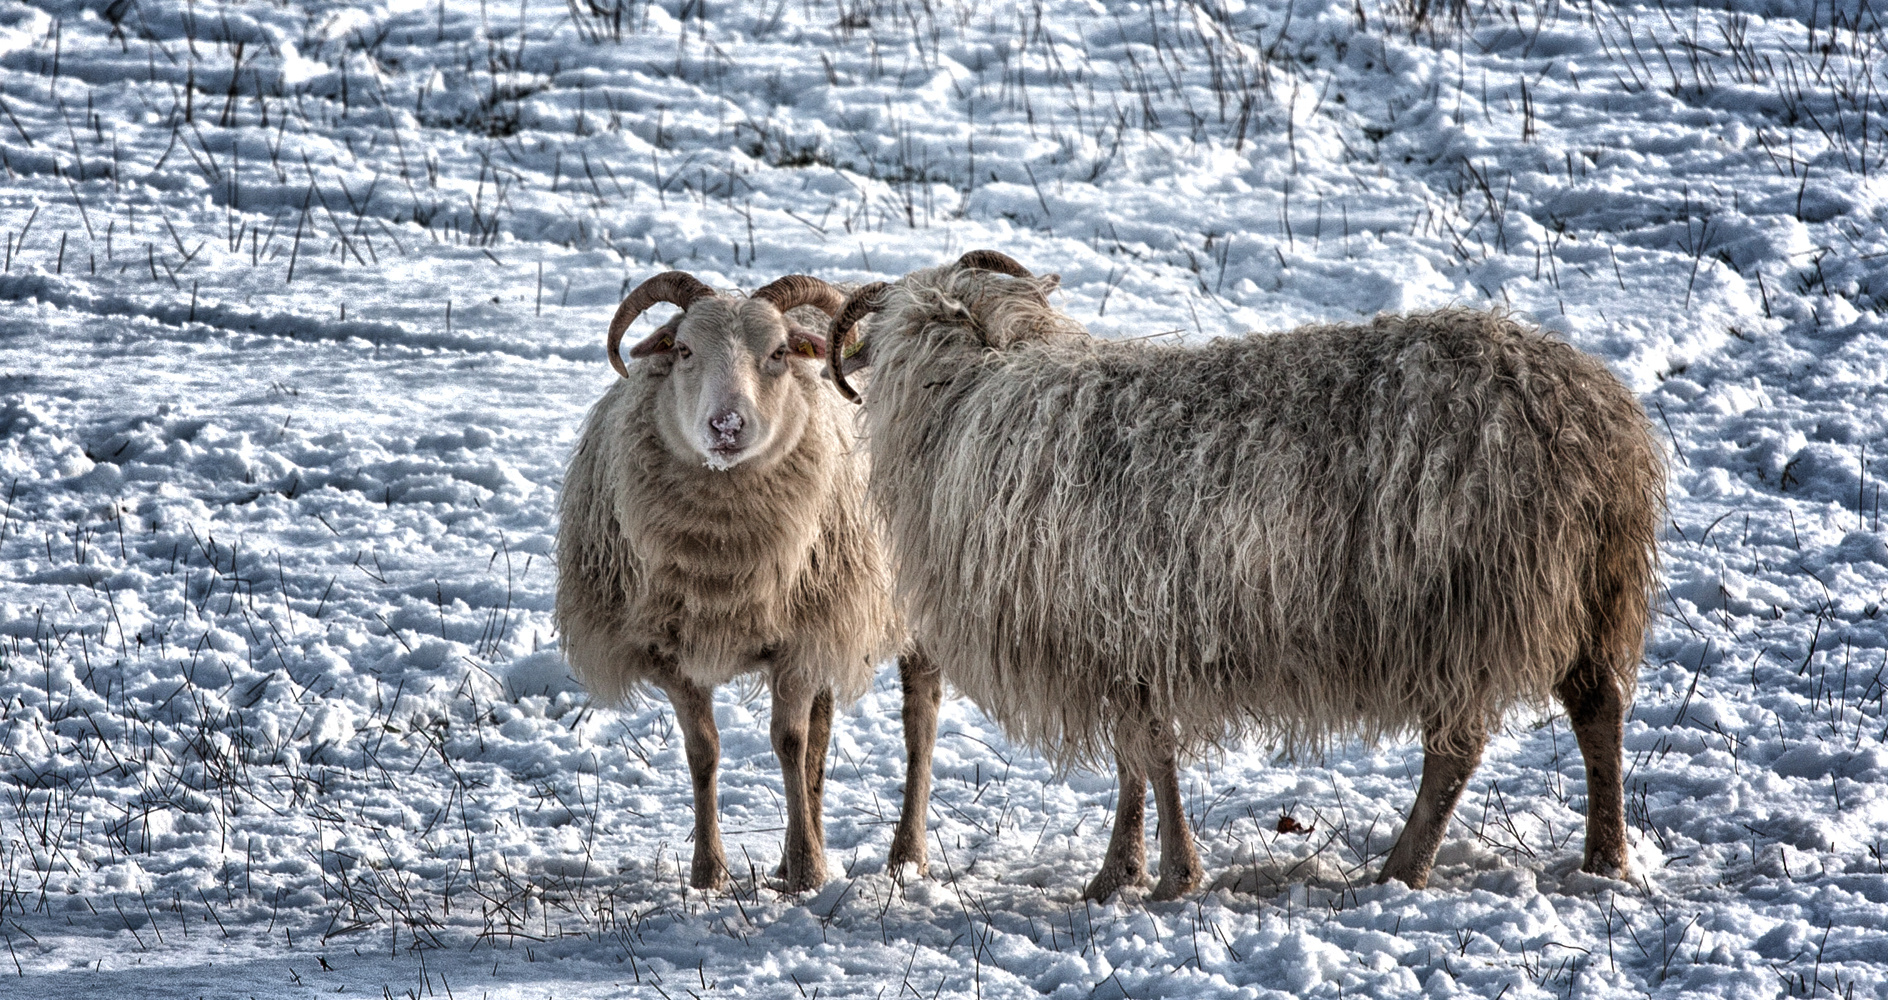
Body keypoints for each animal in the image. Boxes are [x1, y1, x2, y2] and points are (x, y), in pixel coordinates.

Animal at [555, 269, 944, 886]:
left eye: (779, 353)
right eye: (683, 349)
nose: (727, 425)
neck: (722, 556)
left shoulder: (799, 643)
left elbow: (788, 744)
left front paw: (808, 872)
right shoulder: (675, 651)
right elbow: (705, 752)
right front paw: (709, 872)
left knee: (918, 725)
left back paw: (906, 856)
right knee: (823, 734)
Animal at [826, 247, 1668, 894]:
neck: (977, 394)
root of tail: (1597, 419)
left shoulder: (1118, 633)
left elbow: (1150, 758)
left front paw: (1163, 876)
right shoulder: (1123, 643)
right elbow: (1139, 763)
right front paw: (1124, 875)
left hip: (1470, 602)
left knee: (1458, 752)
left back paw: (1405, 868)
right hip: (1592, 591)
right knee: (1598, 711)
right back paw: (1604, 857)